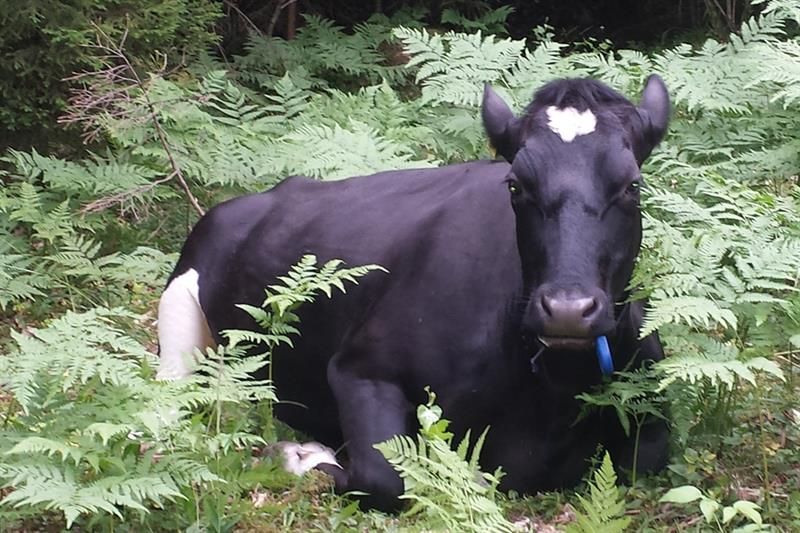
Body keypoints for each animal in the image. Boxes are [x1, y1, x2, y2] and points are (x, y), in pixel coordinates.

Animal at [157, 75, 671, 511]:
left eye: (632, 185)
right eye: (515, 185)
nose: (567, 309)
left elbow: (647, 458)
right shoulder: (359, 367)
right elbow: (384, 478)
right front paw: (298, 455)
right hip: (179, 317)